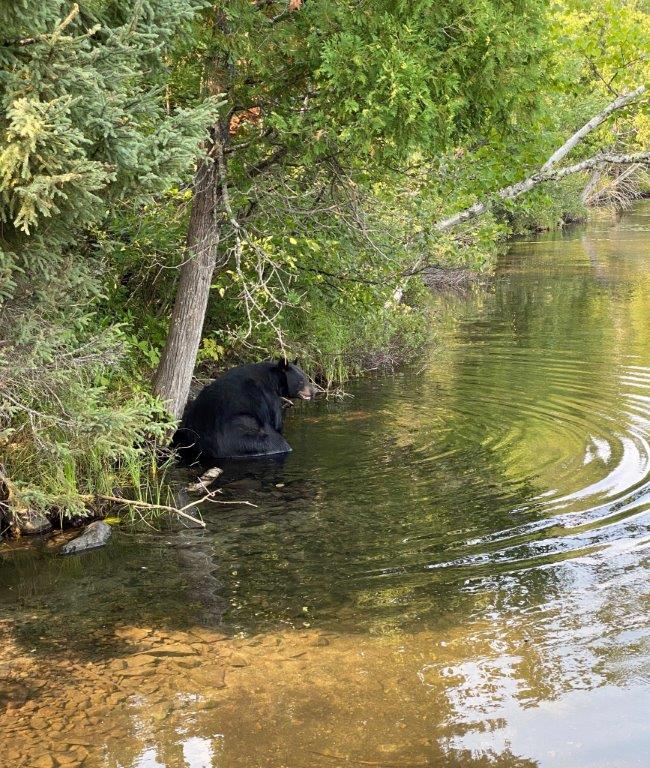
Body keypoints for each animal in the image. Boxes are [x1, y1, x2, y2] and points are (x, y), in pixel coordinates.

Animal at [171, 359, 313, 463]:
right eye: (301, 380)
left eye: (306, 377)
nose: (314, 391)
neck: (272, 379)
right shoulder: (269, 396)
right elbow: (275, 421)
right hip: (243, 440)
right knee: (276, 442)